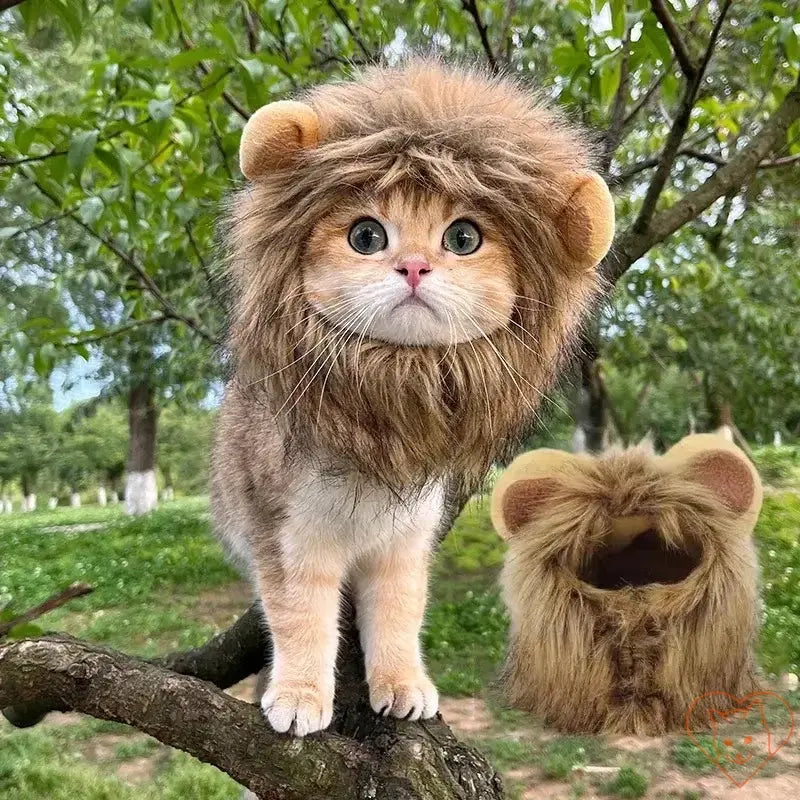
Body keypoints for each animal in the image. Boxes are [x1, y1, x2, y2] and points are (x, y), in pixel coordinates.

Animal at [211, 56, 612, 736]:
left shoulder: (404, 544)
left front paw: (402, 685)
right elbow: (300, 622)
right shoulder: (290, 541)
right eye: (367, 237)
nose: (416, 267)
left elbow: (398, 620)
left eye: (464, 238)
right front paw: (298, 695)